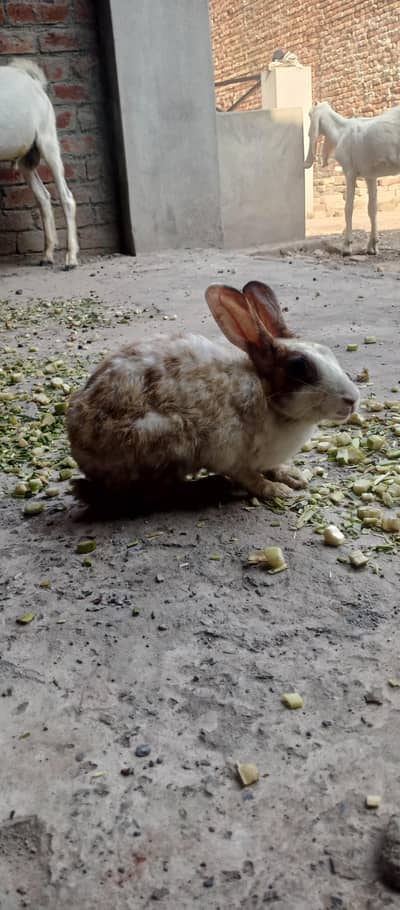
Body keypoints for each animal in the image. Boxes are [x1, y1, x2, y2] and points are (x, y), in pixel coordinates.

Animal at [66, 280, 359, 502]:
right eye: (299, 367)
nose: (353, 399)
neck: (268, 397)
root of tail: (79, 446)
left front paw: (293, 476)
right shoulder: (228, 452)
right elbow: (249, 477)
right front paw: (278, 490)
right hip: (164, 439)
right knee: (158, 491)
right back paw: (215, 487)